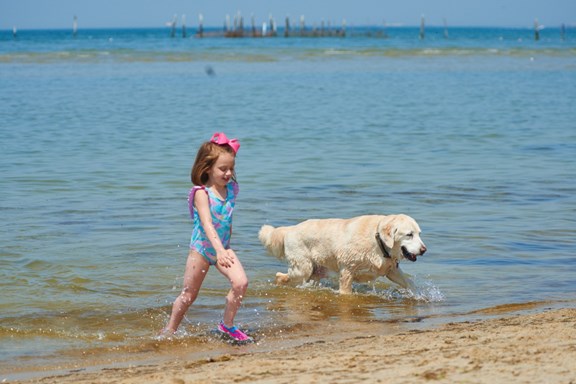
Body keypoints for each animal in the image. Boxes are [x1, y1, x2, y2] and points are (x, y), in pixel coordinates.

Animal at [258, 213, 426, 294]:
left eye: (419, 233)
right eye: (409, 234)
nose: (424, 250)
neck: (378, 241)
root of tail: (290, 228)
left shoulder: (391, 270)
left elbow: (409, 283)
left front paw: (418, 295)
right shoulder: (347, 271)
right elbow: (346, 292)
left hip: (316, 271)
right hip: (302, 268)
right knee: (280, 276)